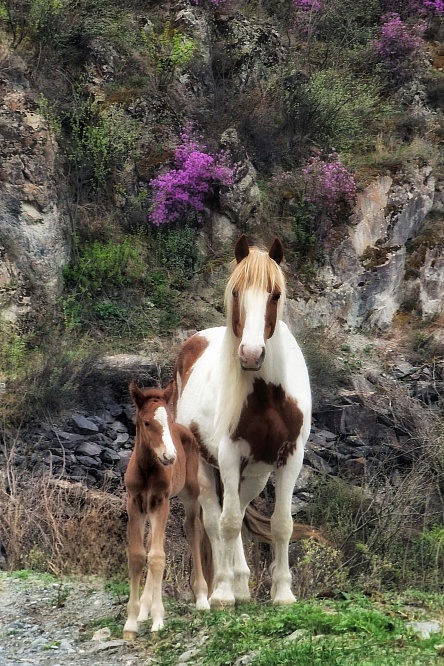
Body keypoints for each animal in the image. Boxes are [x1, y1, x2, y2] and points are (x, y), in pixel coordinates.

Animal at [123, 382, 210, 636]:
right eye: (146, 422)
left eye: (168, 420)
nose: (169, 456)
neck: (147, 469)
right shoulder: (135, 502)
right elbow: (138, 555)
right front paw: (132, 621)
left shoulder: (162, 501)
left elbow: (158, 557)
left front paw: (158, 618)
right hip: (150, 507)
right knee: (152, 541)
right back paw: (144, 608)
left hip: (190, 493)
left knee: (193, 530)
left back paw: (202, 598)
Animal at [170, 235, 312, 608]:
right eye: (236, 292)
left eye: (274, 294)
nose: (250, 354)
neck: (267, 395)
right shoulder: (229, 454)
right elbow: (229, 523)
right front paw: (222, 593)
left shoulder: (290, 457)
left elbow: (281, 524)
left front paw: (283, 593)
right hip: (207, 468)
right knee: (213, 520)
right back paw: (222, 588)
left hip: (255, 476)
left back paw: (242, 586)